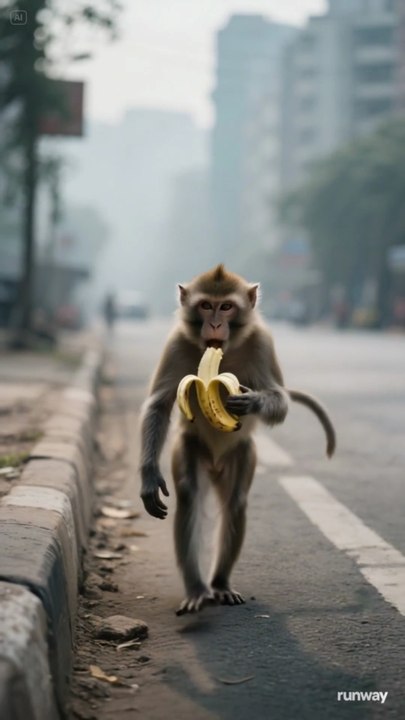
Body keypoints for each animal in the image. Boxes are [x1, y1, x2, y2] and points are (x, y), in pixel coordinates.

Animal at [139, 264, 336, 615]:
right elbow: (158, 406)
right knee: (190, 496)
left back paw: (220, 584)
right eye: (206, 305)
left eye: (227, 307)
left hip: (242, 455)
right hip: (191, 449)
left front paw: (251, 402)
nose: (216, 323)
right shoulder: (175, 344)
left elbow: (280, 400)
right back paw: (197, 589)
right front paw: (149, 477)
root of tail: (216, 463)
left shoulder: (262, 343)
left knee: (235, 502)